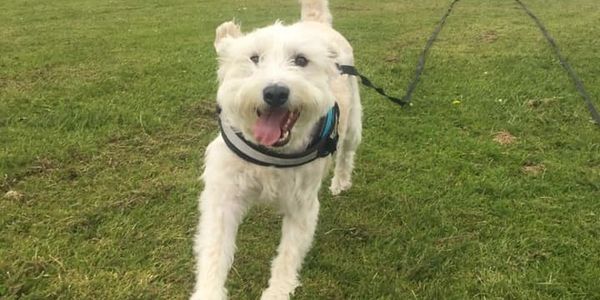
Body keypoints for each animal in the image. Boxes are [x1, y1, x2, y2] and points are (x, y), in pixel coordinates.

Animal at [192, 1, 360, 298]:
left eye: (301, 60)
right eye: (254, 58)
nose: (275, 92)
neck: (269, 155)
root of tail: (315, 23)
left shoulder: (302, 207)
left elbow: (287, 258)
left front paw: (277, 291)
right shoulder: (223, 198)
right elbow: (214, 252)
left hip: (352, 126)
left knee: (346, 155)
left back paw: (341, 182)